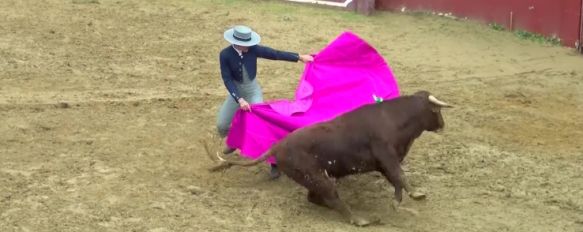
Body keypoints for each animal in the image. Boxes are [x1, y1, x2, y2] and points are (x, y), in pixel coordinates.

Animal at [208, 90, 454, 227]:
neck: (394, 118)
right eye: (437, 111)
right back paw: (361, 219)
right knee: (332, 197)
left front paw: (396, 202)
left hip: (315, 178)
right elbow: (400, 176)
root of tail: (277, 146)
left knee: (316, 198)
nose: (443, 125)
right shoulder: (387, 155)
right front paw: (418, 194)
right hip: (317, 177)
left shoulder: (384, 162)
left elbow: (396, 180)